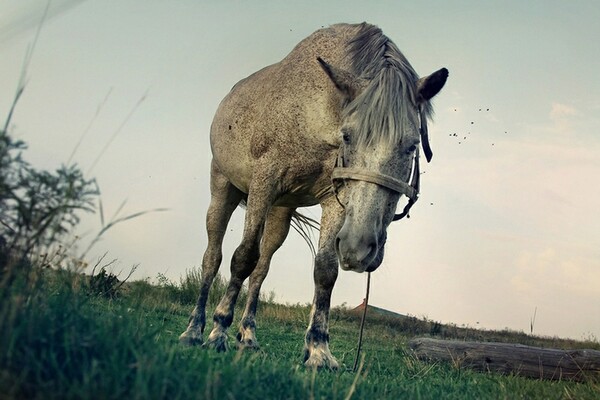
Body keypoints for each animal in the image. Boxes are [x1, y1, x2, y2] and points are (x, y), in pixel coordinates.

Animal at [178, 22, 446, 368]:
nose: (359, 249)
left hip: (280, 212)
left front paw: (319, 349)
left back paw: (248, 337)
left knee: (262, 268)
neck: (315, 111)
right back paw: (194, 330)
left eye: (412, 145)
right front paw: (218, 331)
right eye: (348, 136)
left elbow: (325, 271)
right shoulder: (264, 182)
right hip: (223, 188)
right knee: (213, 257)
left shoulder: (334, 201)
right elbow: (242, 258)